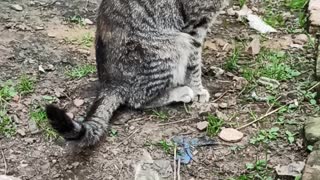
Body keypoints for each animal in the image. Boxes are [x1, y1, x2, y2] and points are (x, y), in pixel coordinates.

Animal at [45, 0, 230, 148]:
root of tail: (109, 84)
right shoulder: (195, 26)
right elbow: (194, 63)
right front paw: (198, 89)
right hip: (176, 42)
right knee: (138, 100)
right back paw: (181, 92)